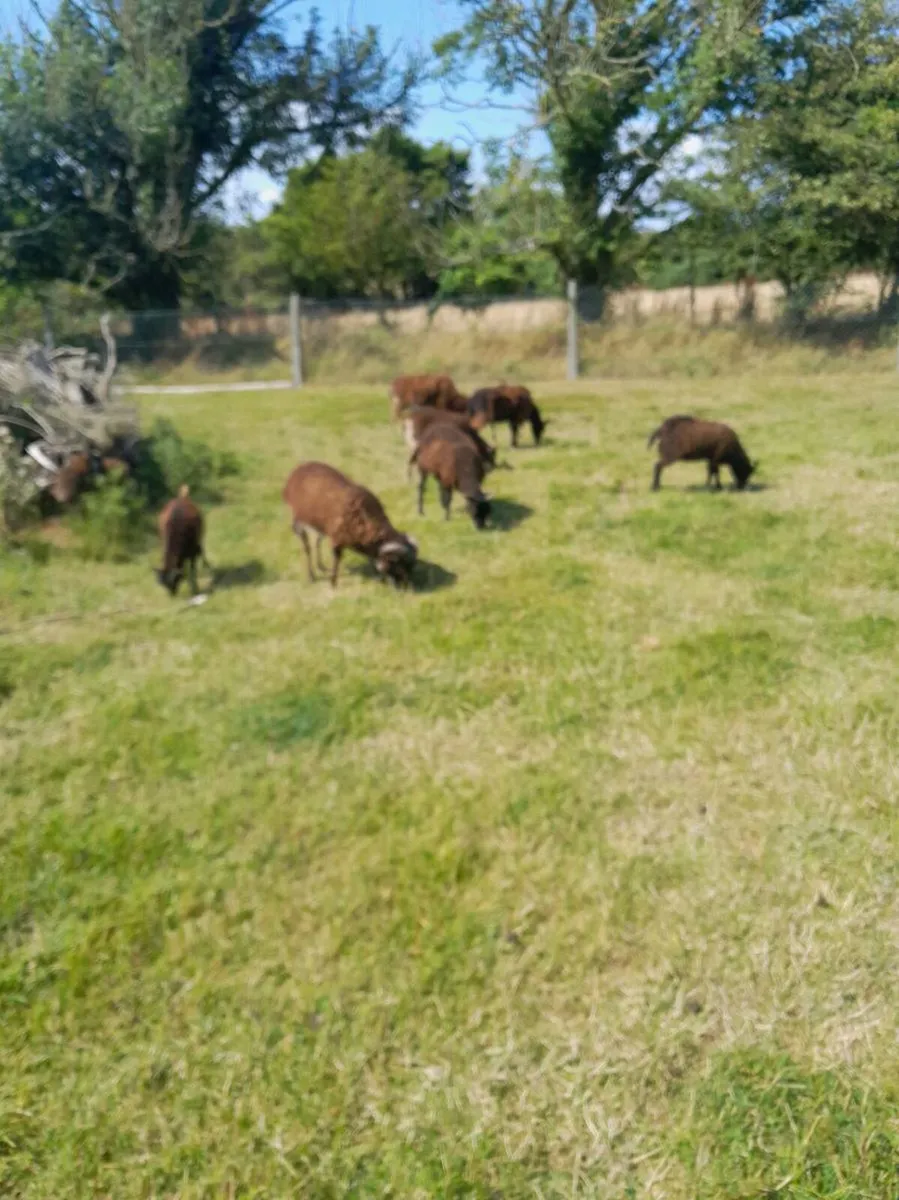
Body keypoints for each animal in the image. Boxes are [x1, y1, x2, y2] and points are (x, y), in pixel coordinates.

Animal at [283, 461, 418, 588]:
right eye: (399, 564)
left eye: (411, 565)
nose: (407, 588)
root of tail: (299, 469)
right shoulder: (337, 539)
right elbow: (336, 561)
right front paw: (333, 583)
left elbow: (371, 559)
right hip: (298, 521)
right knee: (307, 547)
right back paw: (311, 576)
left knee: (317, 541)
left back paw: (321, 566)